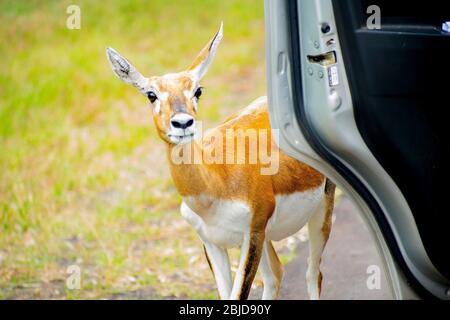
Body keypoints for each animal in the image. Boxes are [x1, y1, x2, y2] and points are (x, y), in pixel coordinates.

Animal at [107, 22, 336, 300]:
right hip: (268, 236)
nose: (183, 123)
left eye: (197, 90)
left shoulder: (252, 234)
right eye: (151, 94)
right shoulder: (212, 241)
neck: (216, 183)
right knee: (277, 274)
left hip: (320, 212)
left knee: (314, 273)